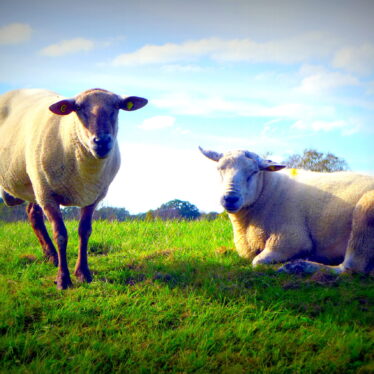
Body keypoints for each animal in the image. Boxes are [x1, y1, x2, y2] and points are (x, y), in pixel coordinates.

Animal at [0, 87, 149, 290]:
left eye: (117, 107)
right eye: (78, 108)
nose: (101, 141)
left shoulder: (93, 196)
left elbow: (84, 232)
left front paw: (83, 273)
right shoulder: (48, 195)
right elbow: (61, 235)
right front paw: (63, 279)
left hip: (35, 185)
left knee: (33, 214)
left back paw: (50, 256)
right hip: (38, 184)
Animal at [200, 148, 374, 276]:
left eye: (254, 172)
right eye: (219, 169)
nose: (230, 198)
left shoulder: (290, 240)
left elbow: (257, 262)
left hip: (365, 212)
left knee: (351, 267)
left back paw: (297, 267)